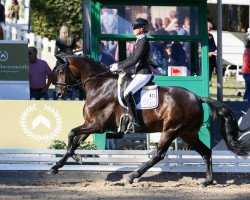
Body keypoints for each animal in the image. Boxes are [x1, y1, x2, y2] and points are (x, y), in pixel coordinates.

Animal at [47, 54, 249, 186]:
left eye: (62, 71)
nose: (59, 93)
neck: (100, 85)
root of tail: (198, 97)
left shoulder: (97, 125)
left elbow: (71, 133)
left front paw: (75, 159)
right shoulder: (90, 125)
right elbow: (73, 141)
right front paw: (58, 166)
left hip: (171, 130)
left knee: (158, 155)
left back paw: (131, 175)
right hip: (187, 133)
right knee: (206, 152)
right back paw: (207, 181)